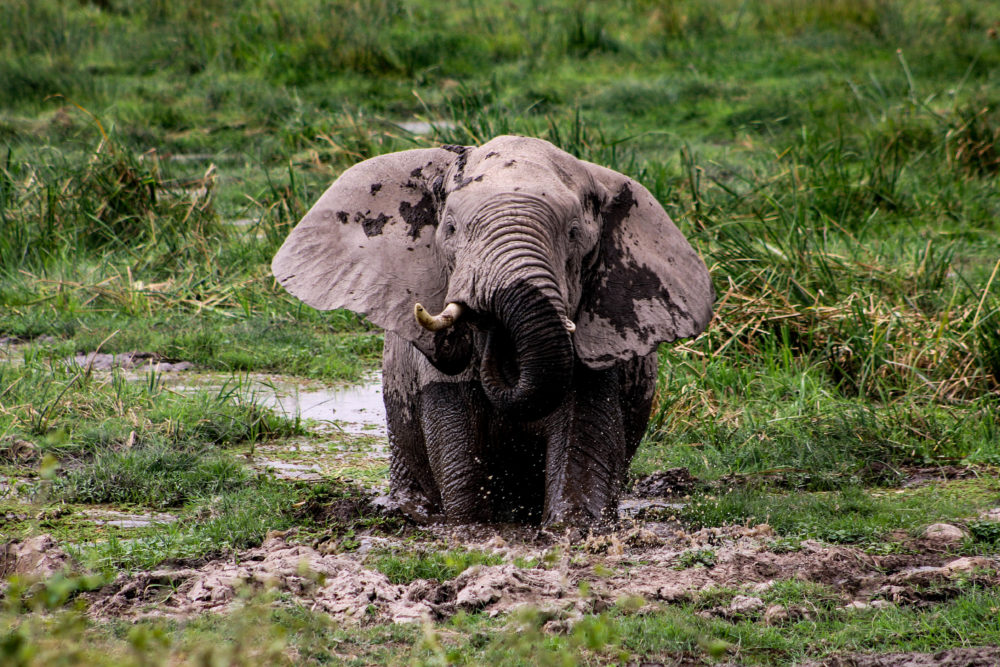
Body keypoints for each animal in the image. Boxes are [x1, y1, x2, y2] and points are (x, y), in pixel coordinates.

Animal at [272, 135, 714, 526]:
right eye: (449, 229)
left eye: (574, 234)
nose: (487, 329)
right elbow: (460, 445)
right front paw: (472, 528)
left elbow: (582, 445)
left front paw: (571, 529)